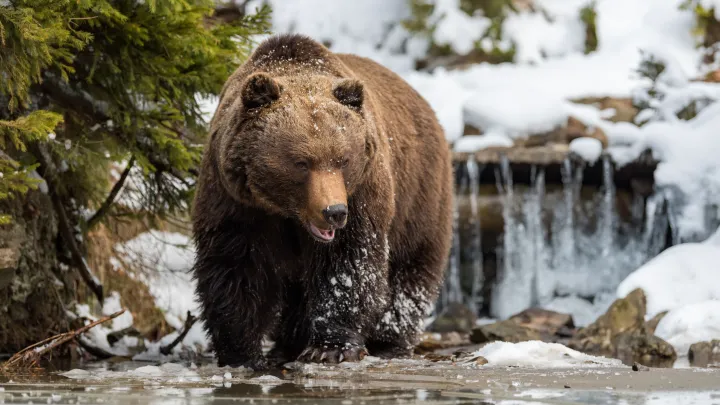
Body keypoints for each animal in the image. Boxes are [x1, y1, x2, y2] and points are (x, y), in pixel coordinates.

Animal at [192, 34, 453, 370]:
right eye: (301, 163)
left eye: (343, 159)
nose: (334, 212)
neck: (287, 212)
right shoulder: (236, 200)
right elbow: (236, 266)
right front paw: (242, 353)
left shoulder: (362, 194)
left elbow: (347, 265)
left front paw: (331, 347)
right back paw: (289, 343)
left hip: (419, 194)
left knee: (410, 269)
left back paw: (389, 341)